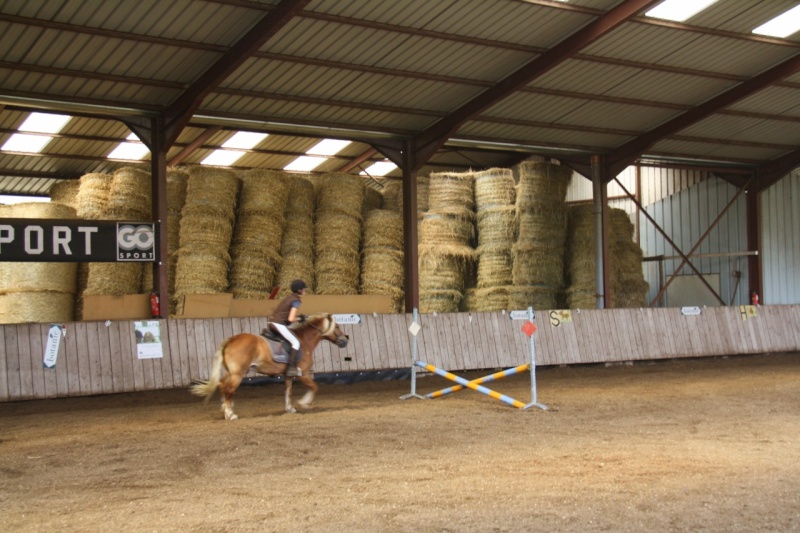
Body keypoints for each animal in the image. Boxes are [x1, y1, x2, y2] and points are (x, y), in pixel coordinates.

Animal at [192, 312, 348, 420]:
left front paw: (290, 409)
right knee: (228, 389)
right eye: (337, 326)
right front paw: (303, 403)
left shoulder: (288, 375)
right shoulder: (303, 373)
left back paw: (226, 409)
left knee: (222, 385)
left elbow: (288, 391)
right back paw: (231, 414)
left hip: (230, 372)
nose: (345, 340)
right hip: (238, 373)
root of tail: (232, 339)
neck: (304, 340)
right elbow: (314, 387)